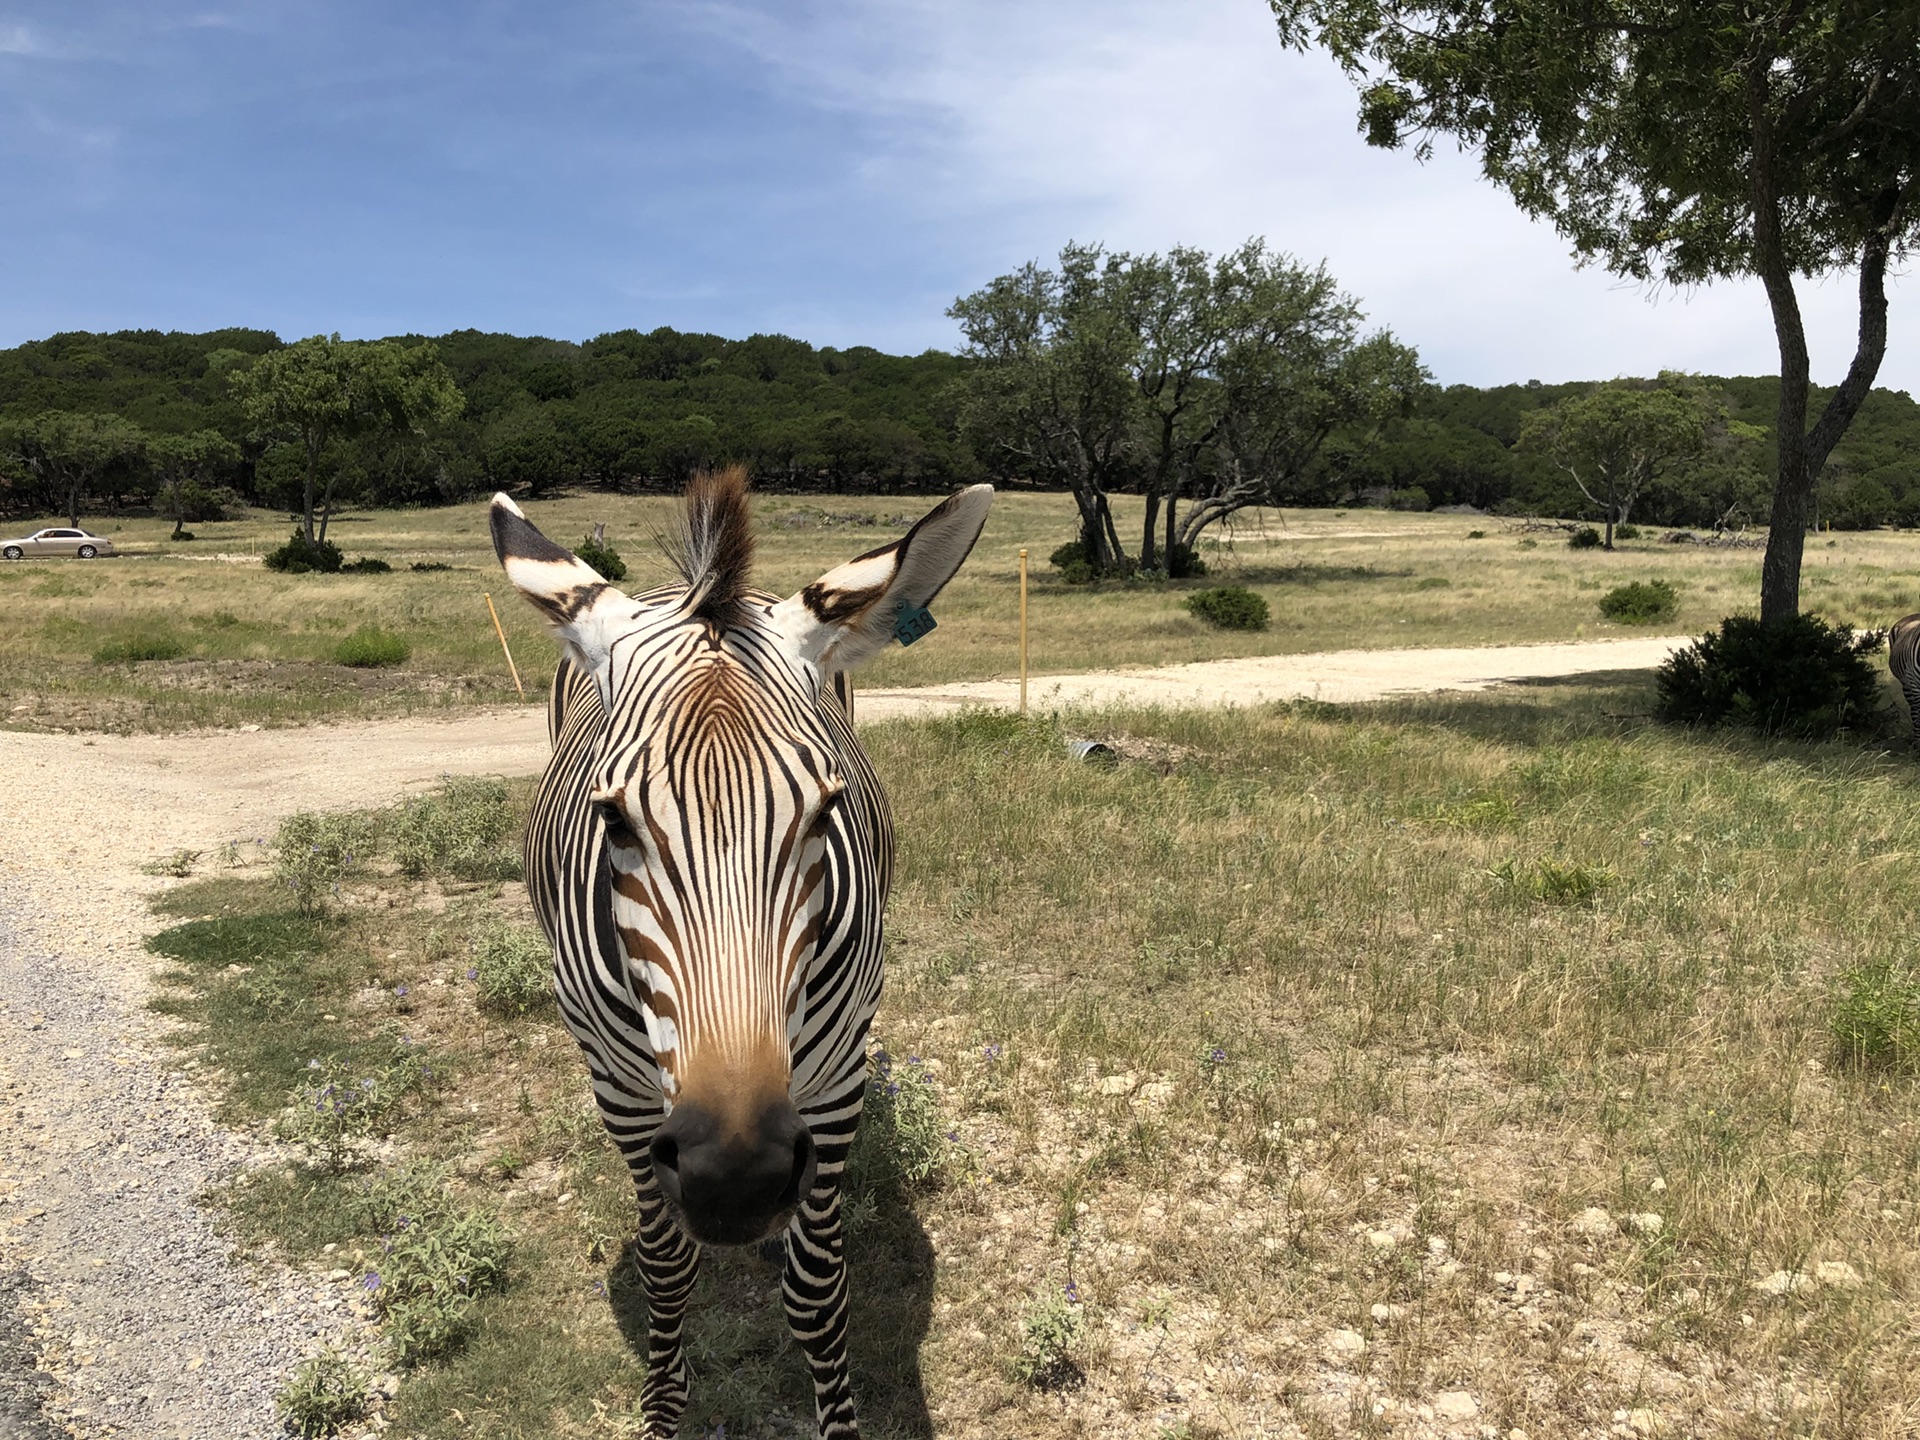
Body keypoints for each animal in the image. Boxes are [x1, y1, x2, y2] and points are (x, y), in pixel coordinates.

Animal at [487, 468, 998, 1436]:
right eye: (613, 820)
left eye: (827, 811)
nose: (737, 1183)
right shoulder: (622, 1094)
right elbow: (667, 1269)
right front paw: (663, 1408)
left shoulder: (834, 1083)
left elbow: (818, 1291)